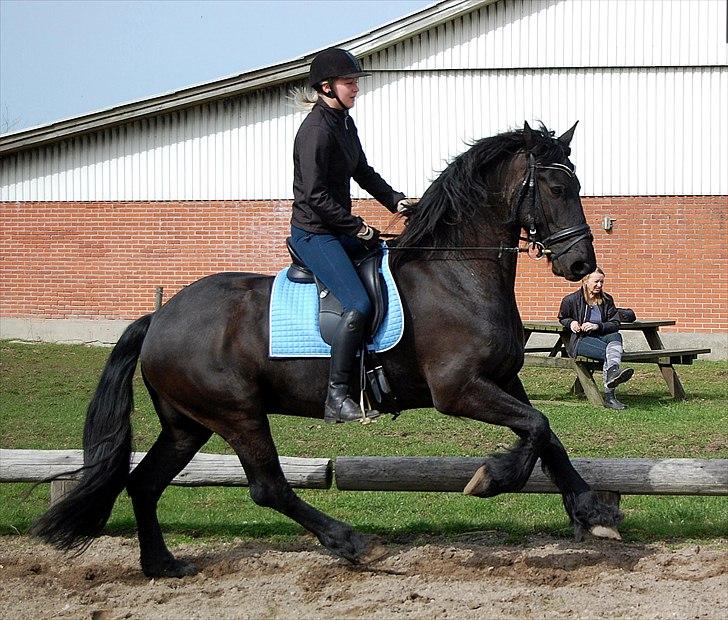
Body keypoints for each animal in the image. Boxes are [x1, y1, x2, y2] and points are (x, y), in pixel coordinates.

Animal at [32, 121, 620, 576]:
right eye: (554, 188)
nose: (580, 266)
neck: (456, 273)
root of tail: (159, 317)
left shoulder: (502, 379)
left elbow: (547, 435)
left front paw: (590, 512)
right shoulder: (458, 390)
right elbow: (538, 427)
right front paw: (492, 479)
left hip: (188, 422)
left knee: (144, 483)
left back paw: (161, 564)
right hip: (237, 413)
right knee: (267, 487)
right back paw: (351, 542)